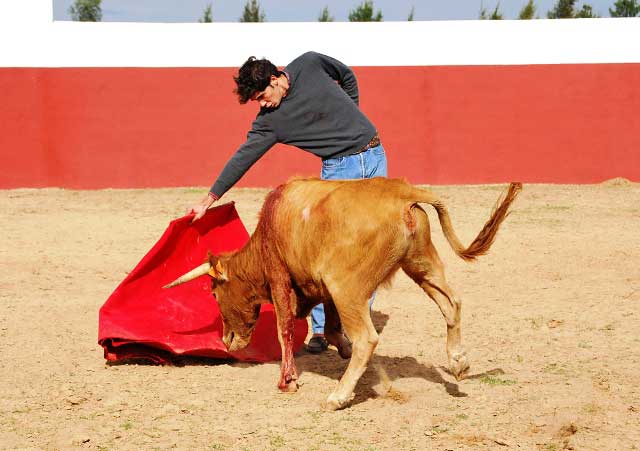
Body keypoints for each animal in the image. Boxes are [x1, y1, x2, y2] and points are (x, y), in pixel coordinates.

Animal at [165, 178, 520, 412]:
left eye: (213, 293)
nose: (227, 340)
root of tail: (401, 192)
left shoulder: (281, 278)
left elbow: (285, 330)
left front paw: (287, 382)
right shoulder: (324, 290)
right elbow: (334, 327)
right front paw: (351, 357)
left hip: (348, 287)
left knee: (368, 338)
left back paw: (339, 396)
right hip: (420, 264)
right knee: (452, 302)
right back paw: (458, 363)